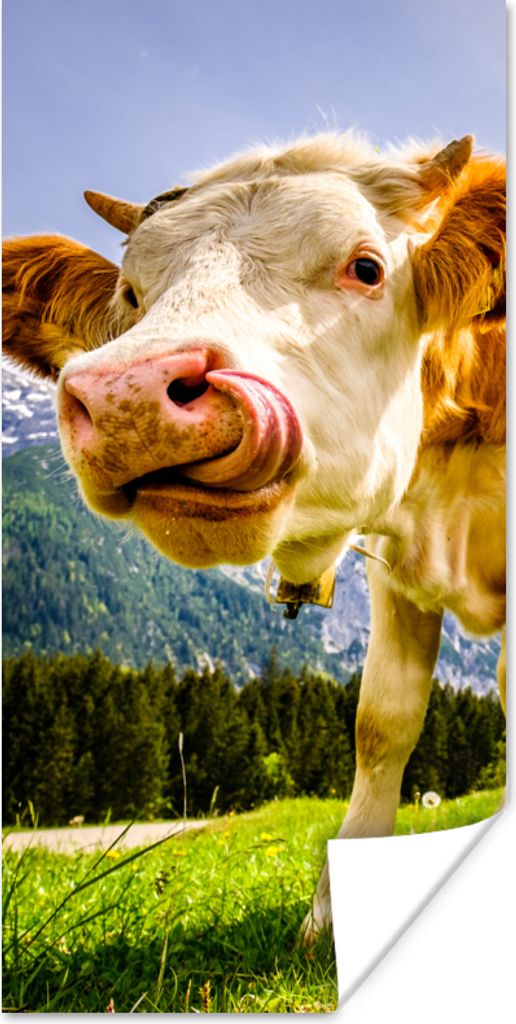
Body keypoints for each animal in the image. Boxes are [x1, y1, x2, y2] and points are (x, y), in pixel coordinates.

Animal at [3, 131, 505, 940]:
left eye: (367, 267)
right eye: (130, 296)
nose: (127, 397)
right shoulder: (395, 573)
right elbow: (381, 725)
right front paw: (330, 920)